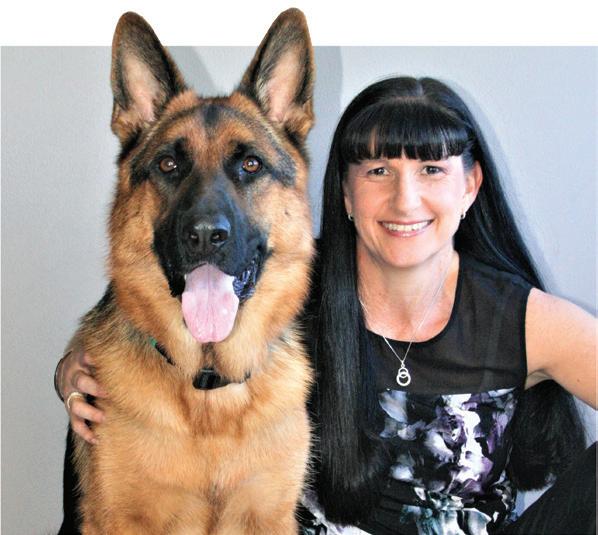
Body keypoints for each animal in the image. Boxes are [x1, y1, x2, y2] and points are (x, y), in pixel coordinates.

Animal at [72, 9, 314, 534]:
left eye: (250, 164)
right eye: (168, 164)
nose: (204, 235)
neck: (207, 385)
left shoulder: (269, 517)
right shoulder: (122, 521)